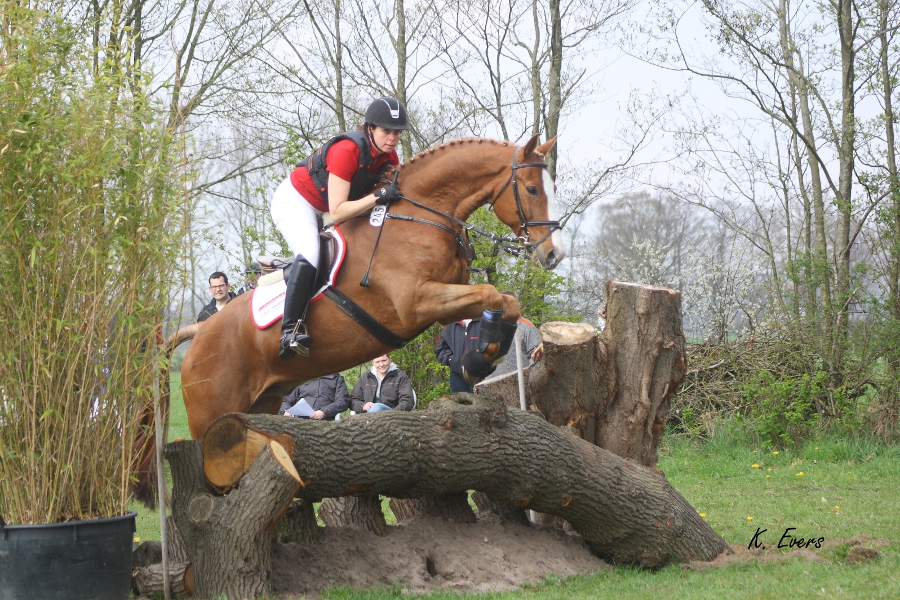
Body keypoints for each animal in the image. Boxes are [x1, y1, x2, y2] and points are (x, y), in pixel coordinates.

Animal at [133, 136, 564, 506]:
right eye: (532, 190)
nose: (554, 254)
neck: (419, 217)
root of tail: (199, 331)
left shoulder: (448, 296)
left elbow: (505, 302)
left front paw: (482, 358)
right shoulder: (417, 303)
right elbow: (492, 296)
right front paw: (479, 359)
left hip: (260, 405)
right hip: (211, 416)